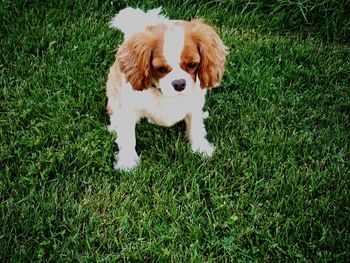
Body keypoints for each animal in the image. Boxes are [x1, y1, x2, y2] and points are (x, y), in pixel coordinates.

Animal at [105, 7, 228, 171]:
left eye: (193, 64)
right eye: (161, 69)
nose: (179, 84)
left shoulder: (194, 104)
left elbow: (195, 127)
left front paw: (201, 148)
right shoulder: (129, 110)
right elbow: (128, 138)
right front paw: (127, 162)